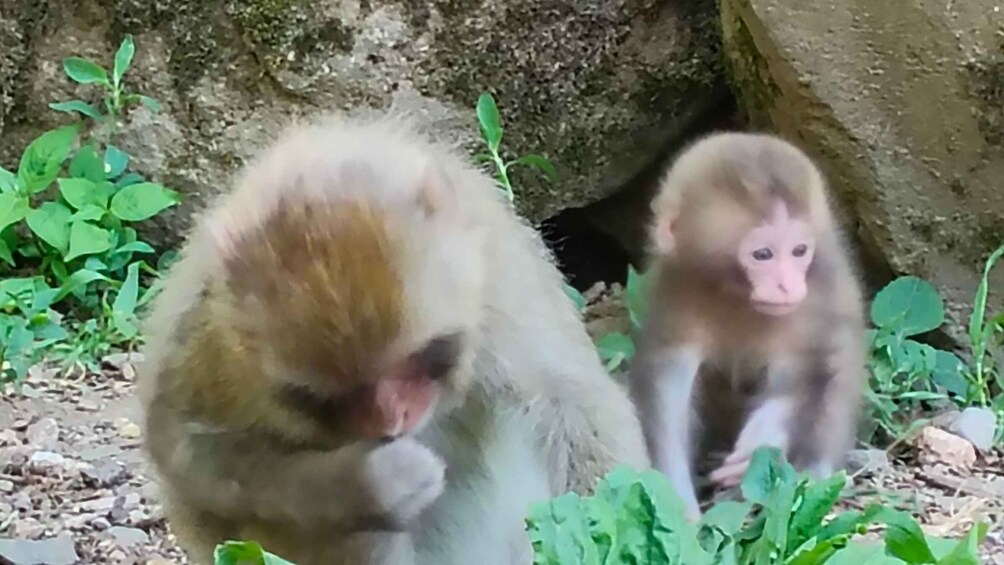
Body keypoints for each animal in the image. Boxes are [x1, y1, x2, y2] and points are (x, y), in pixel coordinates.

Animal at [136, 112, 650, 565]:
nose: (391, 419)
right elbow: (184, 447)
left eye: (412, 362)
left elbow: (572, 407)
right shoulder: (207, 336)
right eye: (326, 398)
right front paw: (372, 482)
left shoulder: (504, 285)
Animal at [625, 132, 867, 520]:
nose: (787, 285)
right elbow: (668, 386)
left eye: (799, 250)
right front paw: (677, 502)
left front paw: (764, 439)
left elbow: (811, 371)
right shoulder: (679, 292)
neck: (735, 297)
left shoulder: (811, 300)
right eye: (763, 255)